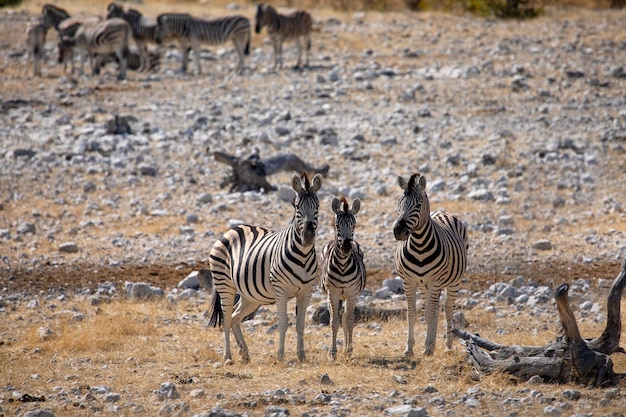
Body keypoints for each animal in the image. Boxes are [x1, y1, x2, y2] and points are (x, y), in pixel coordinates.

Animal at [207, 172, 322, 364]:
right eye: (297, 206)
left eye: (318, 206)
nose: (307, 237)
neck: (303, 256)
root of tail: (233, 229)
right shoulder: (281, 290)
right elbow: (283, 324)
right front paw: (281, 356)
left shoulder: (306, 291)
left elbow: (300, 325)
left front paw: (301, 356)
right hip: (225, 285)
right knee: (226, 319)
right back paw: (228, 357)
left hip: (250, 295)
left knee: (235, 317)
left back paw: (244, 353)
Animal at [320, 197, 364, 360]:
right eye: (337, 225)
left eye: (354, 225)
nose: (346, 248)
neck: (344, 265)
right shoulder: (333, 293)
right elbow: (334, 322)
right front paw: (332, 354)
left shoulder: (352, 293)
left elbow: (349, 321)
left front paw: (349, 351)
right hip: (331, 295)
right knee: (336, 316)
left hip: (349, 295)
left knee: (345, 317)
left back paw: (346, 348)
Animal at [392, 174, 466, 356]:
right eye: (399, 203)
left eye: (418, 205)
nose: (398, 231)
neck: (419, 245)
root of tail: (442, 212)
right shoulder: (408, 281)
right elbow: (412, 313)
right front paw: (409, 348)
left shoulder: (436, 281)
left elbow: (432, 314)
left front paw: (428, 347)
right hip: (424, 285)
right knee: (432, 310)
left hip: (453, 282)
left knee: (447, 310)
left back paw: (446, 345)